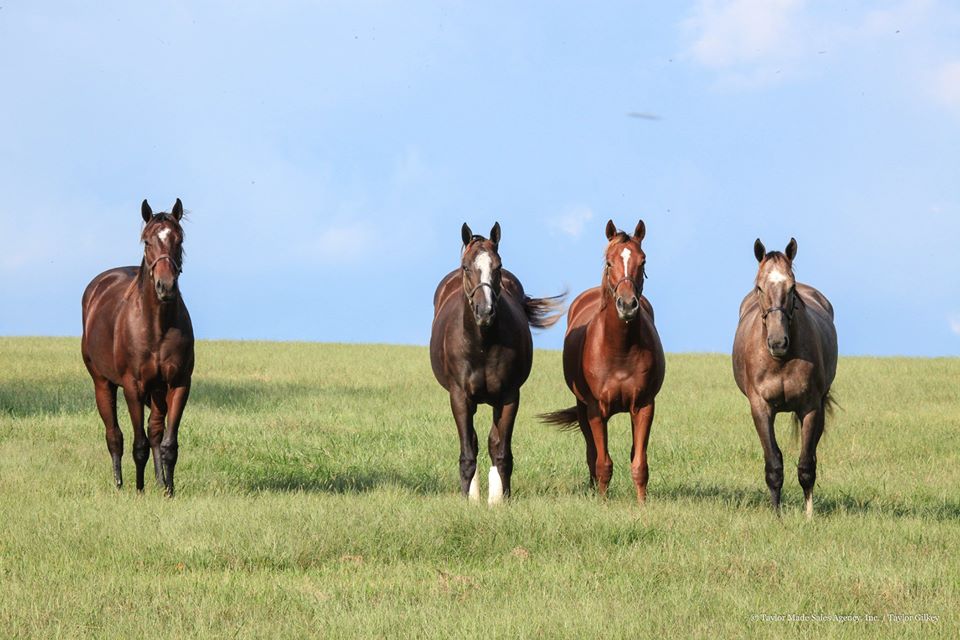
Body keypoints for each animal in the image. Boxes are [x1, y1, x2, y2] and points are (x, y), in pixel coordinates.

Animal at [81, 199, 194, 497]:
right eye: (147, 241)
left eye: (179, 239)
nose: (166, 287)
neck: (157, 326)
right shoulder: (133, 386)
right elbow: (138, 444)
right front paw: (139, 490)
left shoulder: (178, 384)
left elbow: (168, 444)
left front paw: (168, 490)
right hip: (103, 383)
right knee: (114, 436)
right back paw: (120, 484)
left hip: (157, 391)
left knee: (154, 431)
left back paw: (159, 481)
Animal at [430, 222, 564, 504]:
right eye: (466, 267)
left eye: (498, 266)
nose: (485, 311)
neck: (482, 344)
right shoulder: (459, 397)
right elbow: (468, 452)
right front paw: (468, 500)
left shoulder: (509, 396)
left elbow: (501, 451)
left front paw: (501, 499)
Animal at [541, 219, 665, 503]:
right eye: (609, 262)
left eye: (643, 260)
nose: (628, 305)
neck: (619, 350)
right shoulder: (596, 410)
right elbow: (602, 462)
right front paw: (602, 502)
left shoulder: (644, 406)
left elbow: (639, 464)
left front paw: (642, 505)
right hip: (582, 408)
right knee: (591, 453)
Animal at [732, 238, 837, 517]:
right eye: (759, 287)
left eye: (791, 287)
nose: (778, 342)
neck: (780, 361)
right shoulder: (760, 408)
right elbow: (774, 464)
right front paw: (776, 515)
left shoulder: (811, 408)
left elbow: (806, 466)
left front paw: (809, 515)